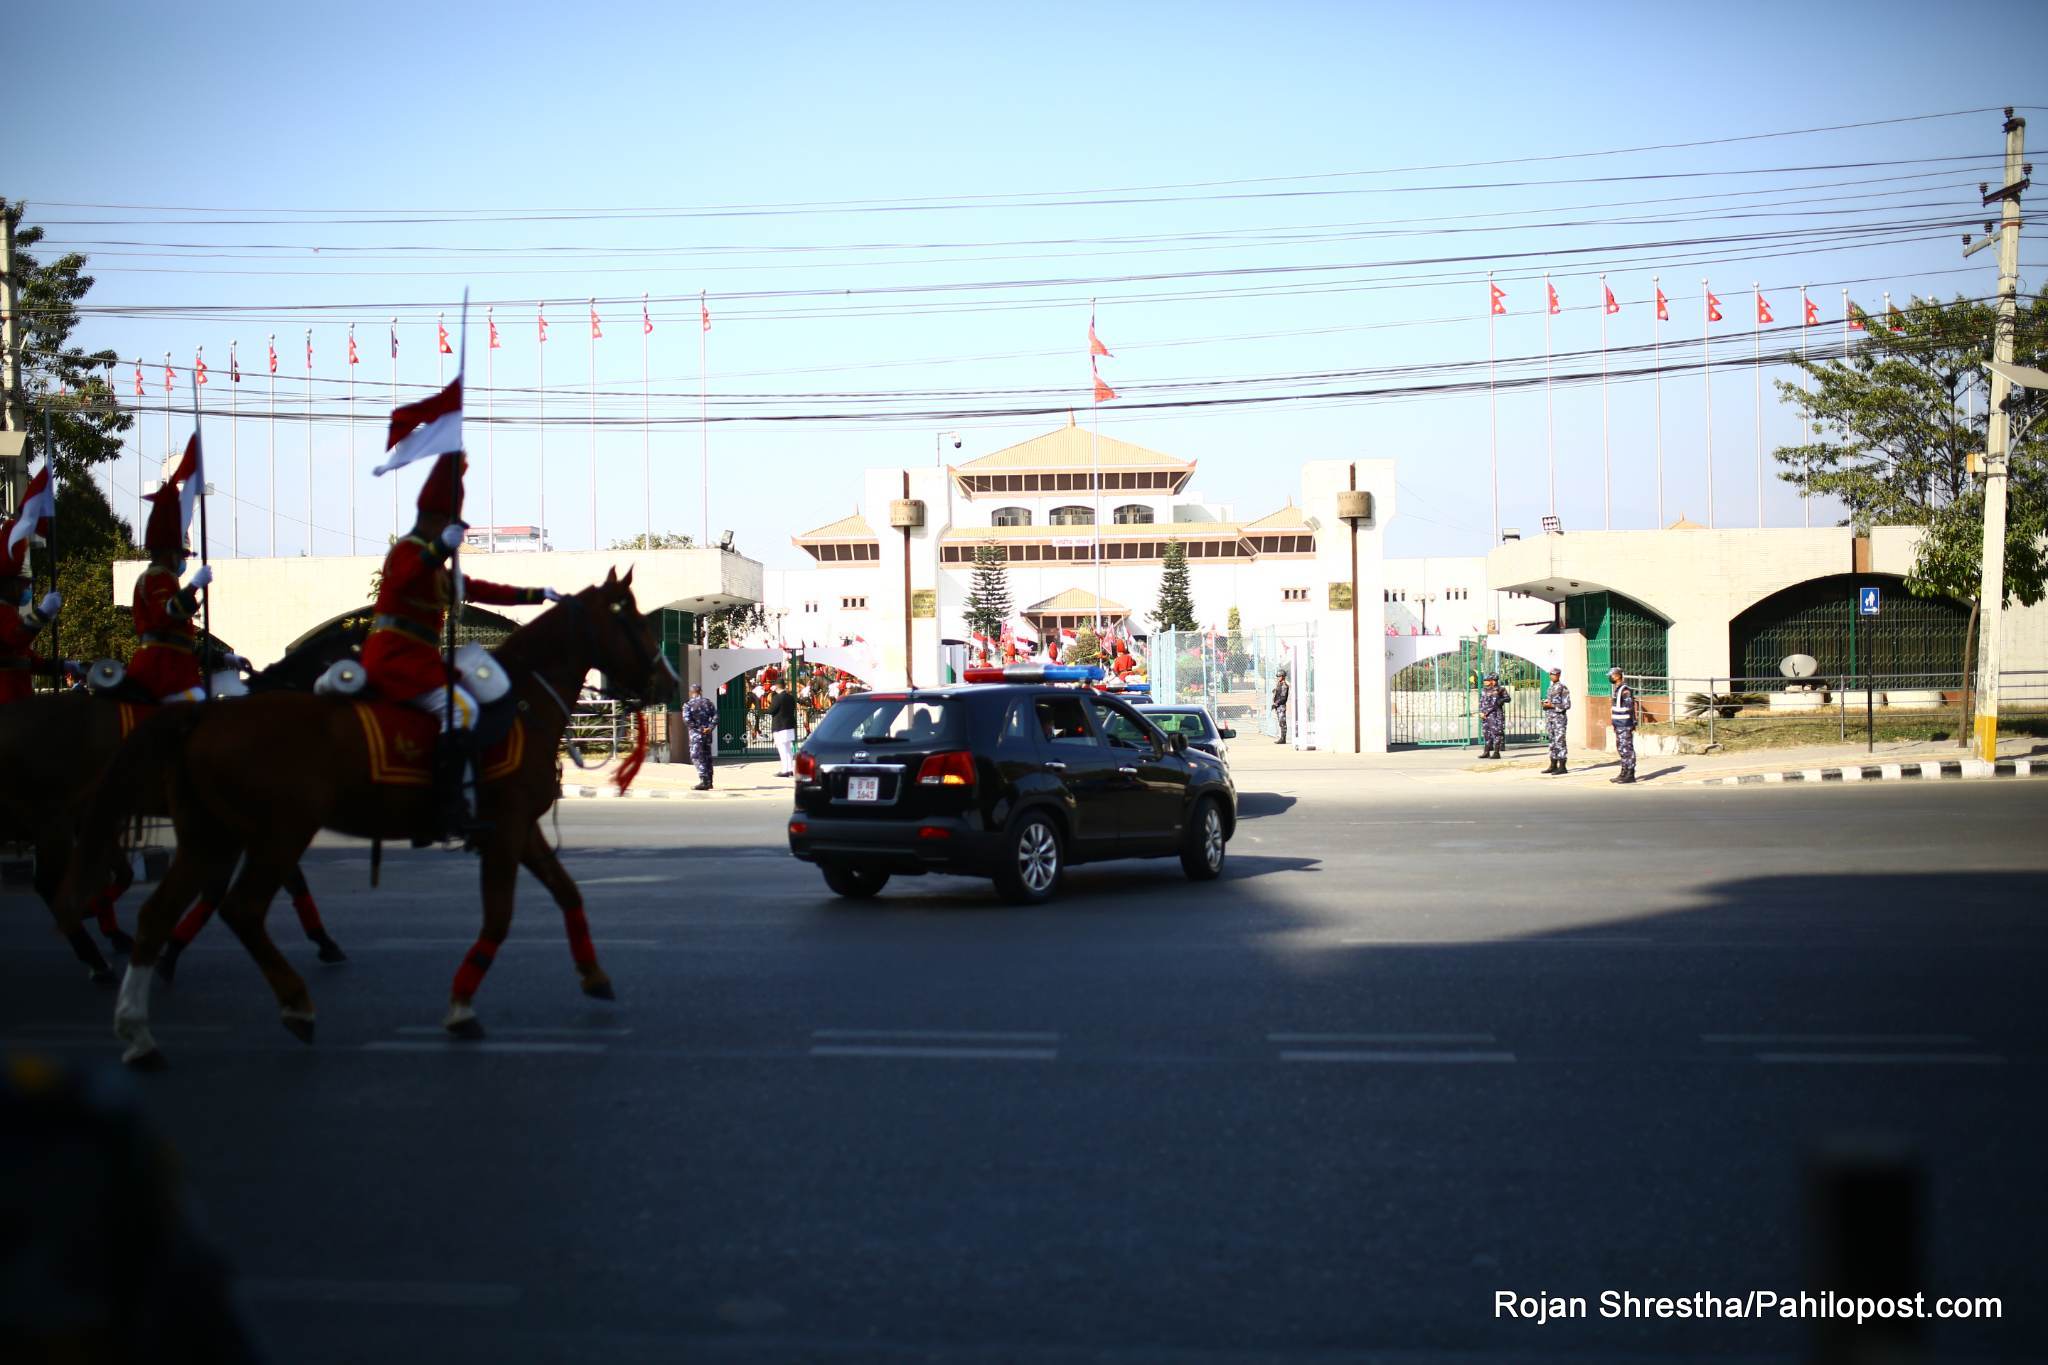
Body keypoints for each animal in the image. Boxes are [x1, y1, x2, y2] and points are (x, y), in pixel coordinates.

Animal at [64, 564, 663, 1064]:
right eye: (634, 621)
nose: (668, 683)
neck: (519, 702)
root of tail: (204, 717)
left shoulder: (520, 830)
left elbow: (567, 892)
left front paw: (593, 974)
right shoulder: (507, 830)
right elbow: (499, 917)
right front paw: (460, 1005)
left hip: (212, 836)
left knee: (159, 914)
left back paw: (139, 1027)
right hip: (280, 832)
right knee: (241, 907)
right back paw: (293, 1003)